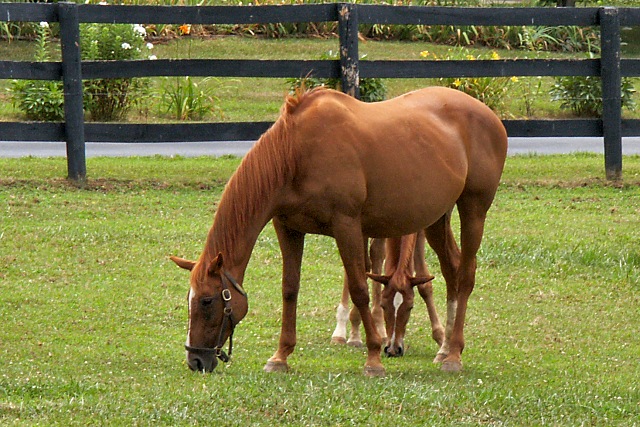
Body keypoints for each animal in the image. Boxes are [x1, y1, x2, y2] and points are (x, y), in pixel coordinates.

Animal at [172, 85, 508, 376]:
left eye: (207, 301)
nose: (195, 360)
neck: (295, 153)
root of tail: (490, 116)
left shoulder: (347, 226)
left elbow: (359, 288)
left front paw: (373, 357)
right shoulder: (287, 228)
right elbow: (290, 289)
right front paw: (280, 356)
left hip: (473, 210)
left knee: (466, 275)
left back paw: (453, 355)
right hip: (437, 218)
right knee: (452, 271)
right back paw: (446, 348)